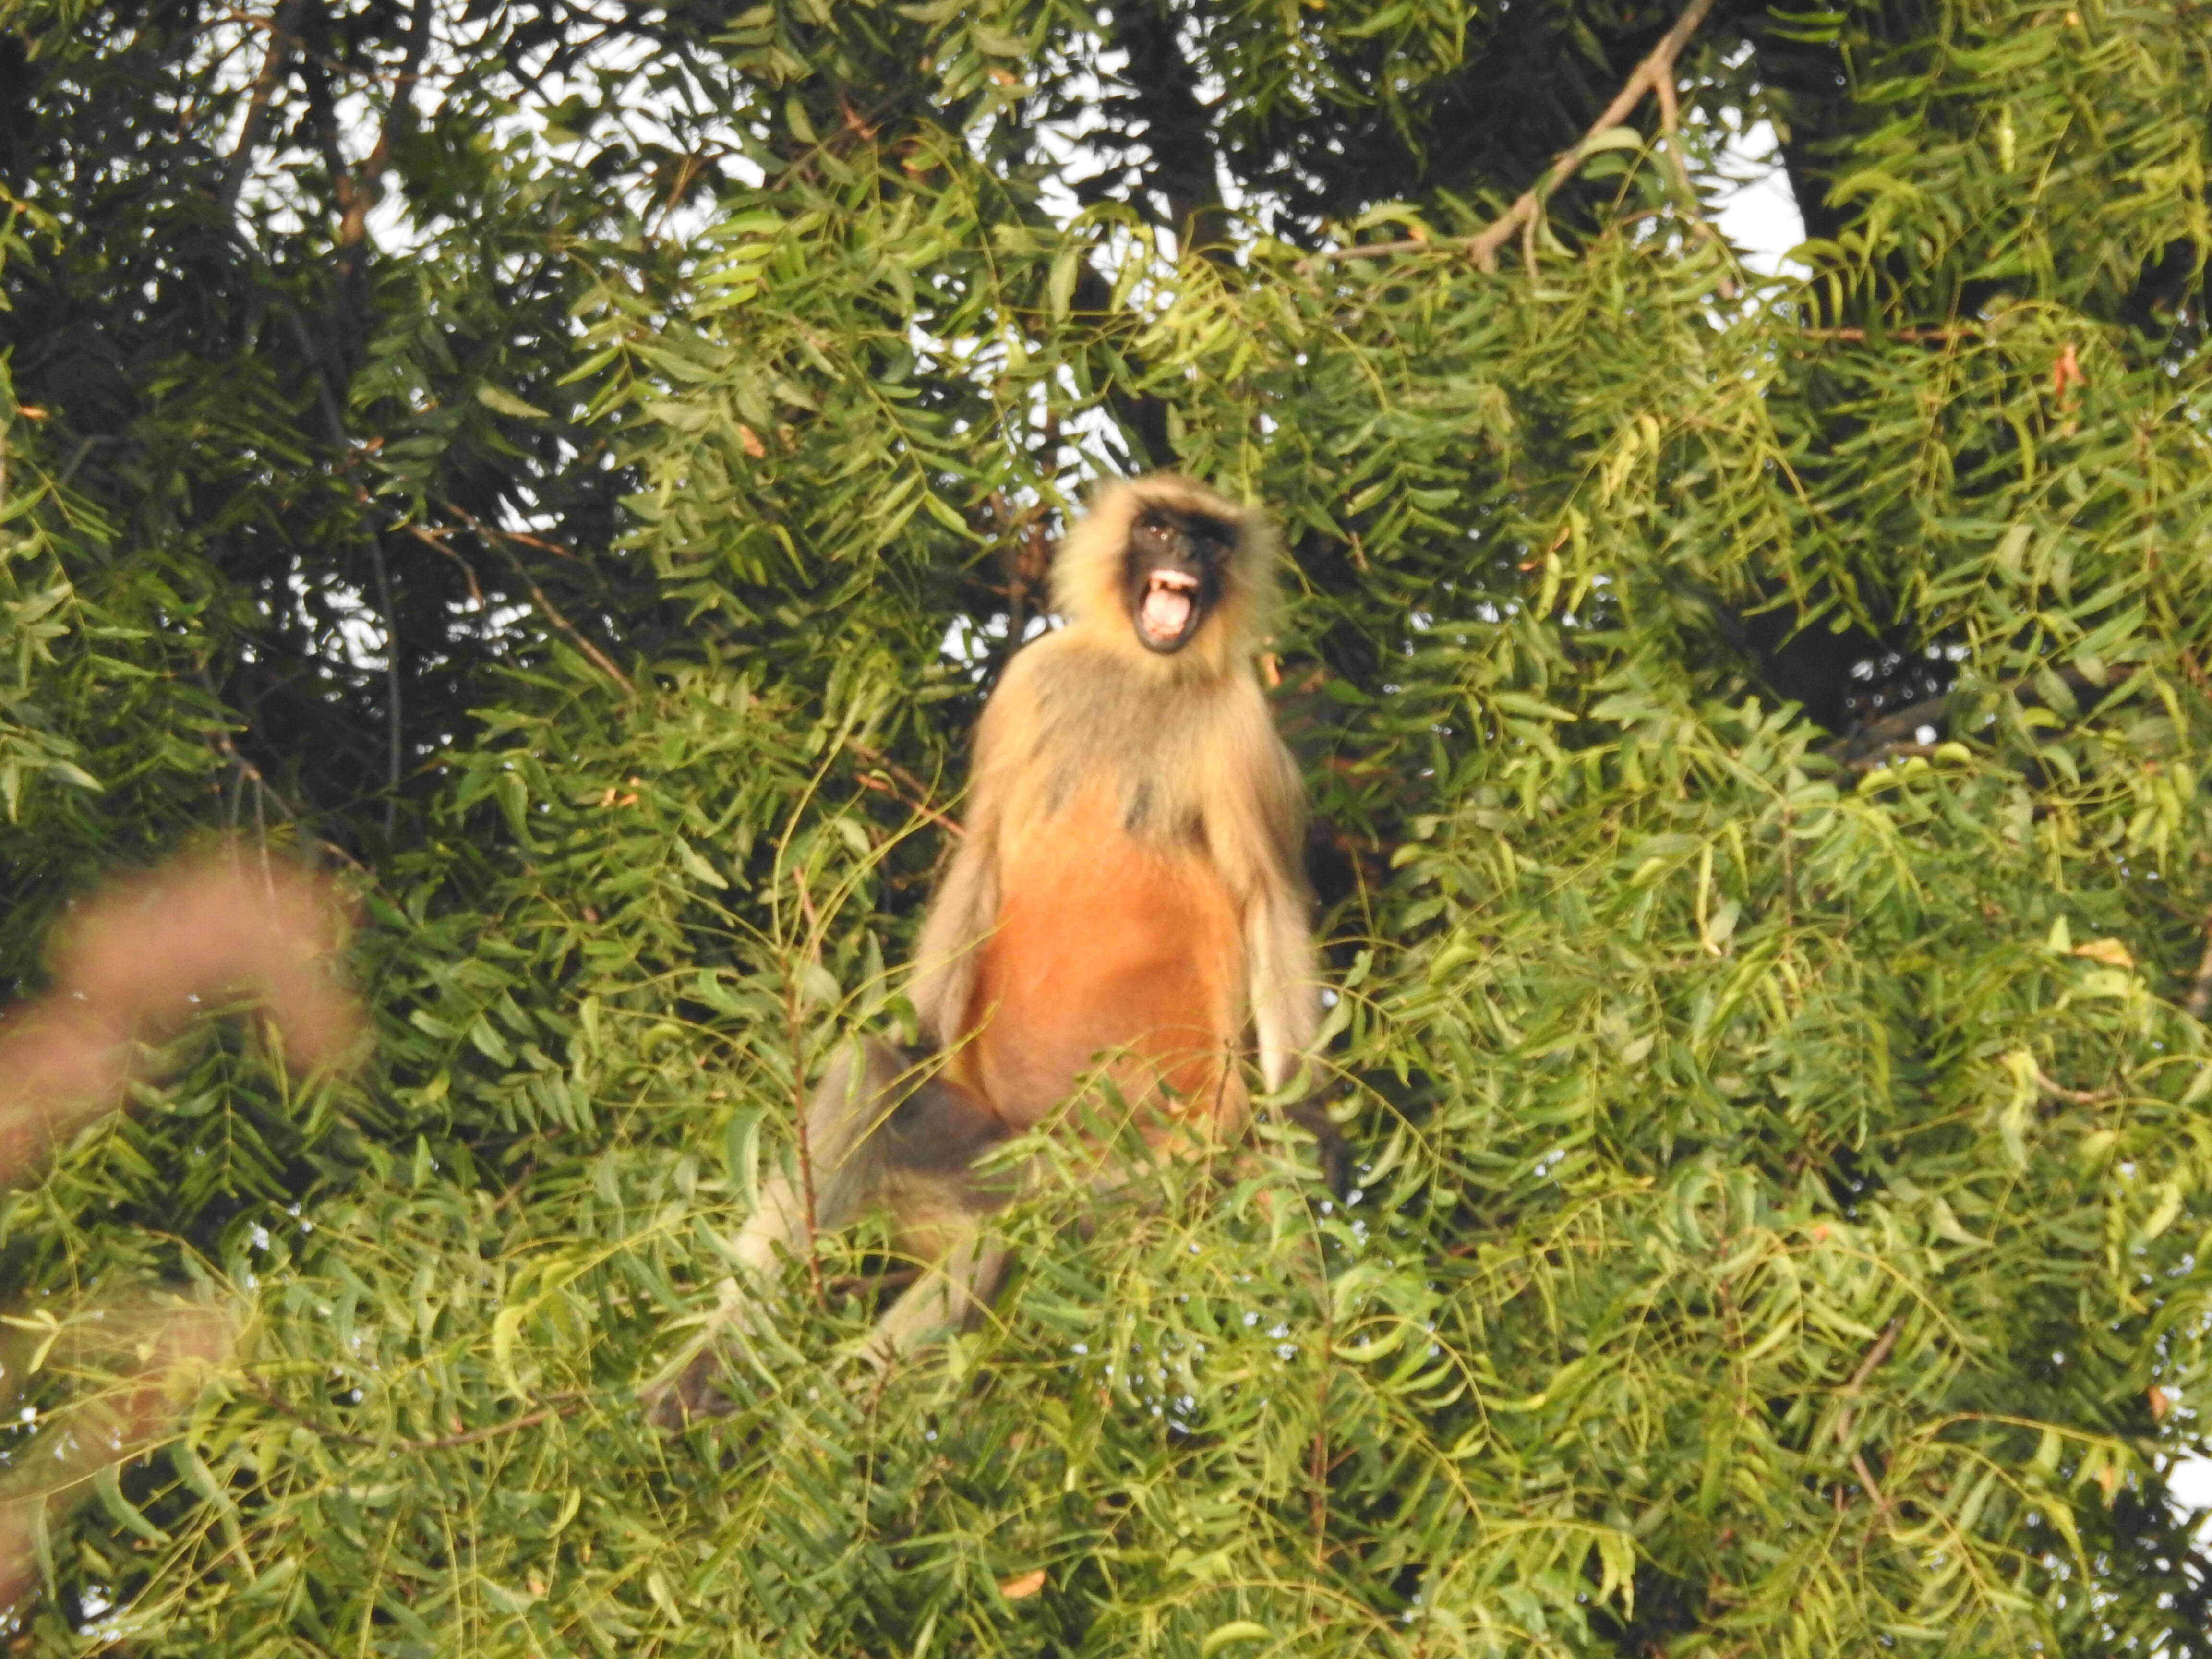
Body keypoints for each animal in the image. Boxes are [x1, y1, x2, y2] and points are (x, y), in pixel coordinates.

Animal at [646, 471, 1327, 1433]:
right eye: (1160, 529)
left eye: (1210, 540)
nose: (1188, 556)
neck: (1140, 672)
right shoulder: (1032, 678)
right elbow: (984, 855)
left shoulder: (1239, 728)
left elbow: (1269, 898)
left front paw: (1302, 1124)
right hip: (976, 1148)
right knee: (874, 1074)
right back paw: (710, 1371)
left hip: (1128, 1173)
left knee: (1014, 1228)